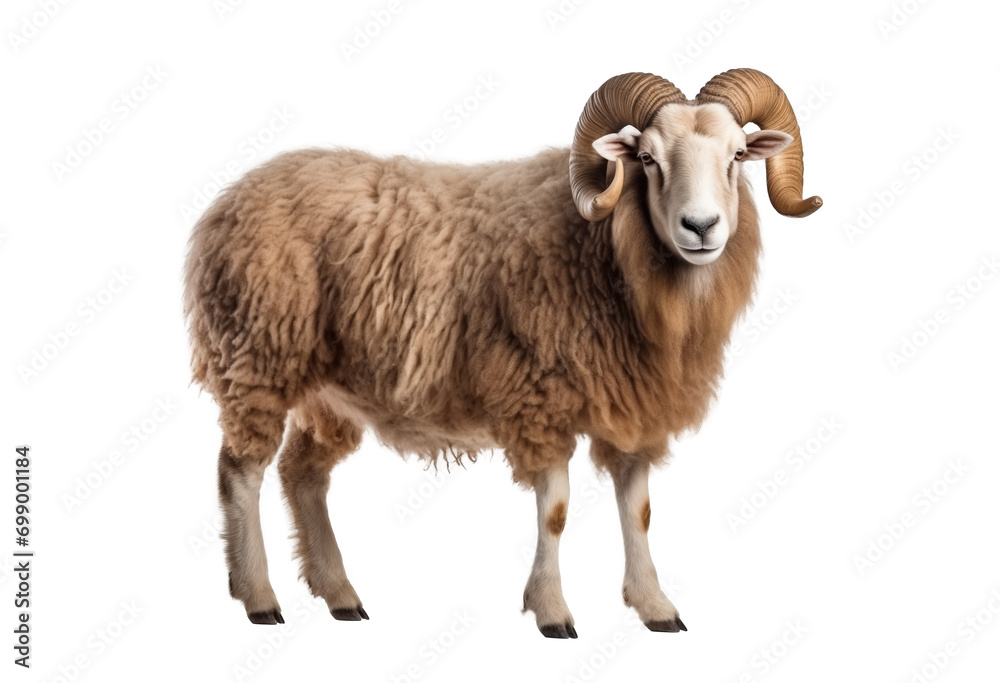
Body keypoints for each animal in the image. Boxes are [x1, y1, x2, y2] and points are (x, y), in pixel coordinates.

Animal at [184, 68, 822, 638]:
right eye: (646, 159)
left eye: (738, 156)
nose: (701, 226)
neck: (607, 254)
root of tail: (228, 201)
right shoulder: (538, 398)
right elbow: (556, 513)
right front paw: (552, 611)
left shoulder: (634, 406)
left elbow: (638, 511)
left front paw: (655, 606)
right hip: (257, 355)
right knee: (239, 470)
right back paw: (259, 597)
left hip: (328, 390)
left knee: (302, 474)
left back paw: (340, 595)